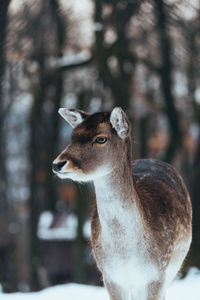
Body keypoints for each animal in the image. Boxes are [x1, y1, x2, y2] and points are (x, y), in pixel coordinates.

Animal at [52, 107, 192, 300]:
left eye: (101, 138)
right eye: (72, 136)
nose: (58, 164)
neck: (126, 253)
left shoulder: (156, 274)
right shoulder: (110, 277)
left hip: (171, 271)